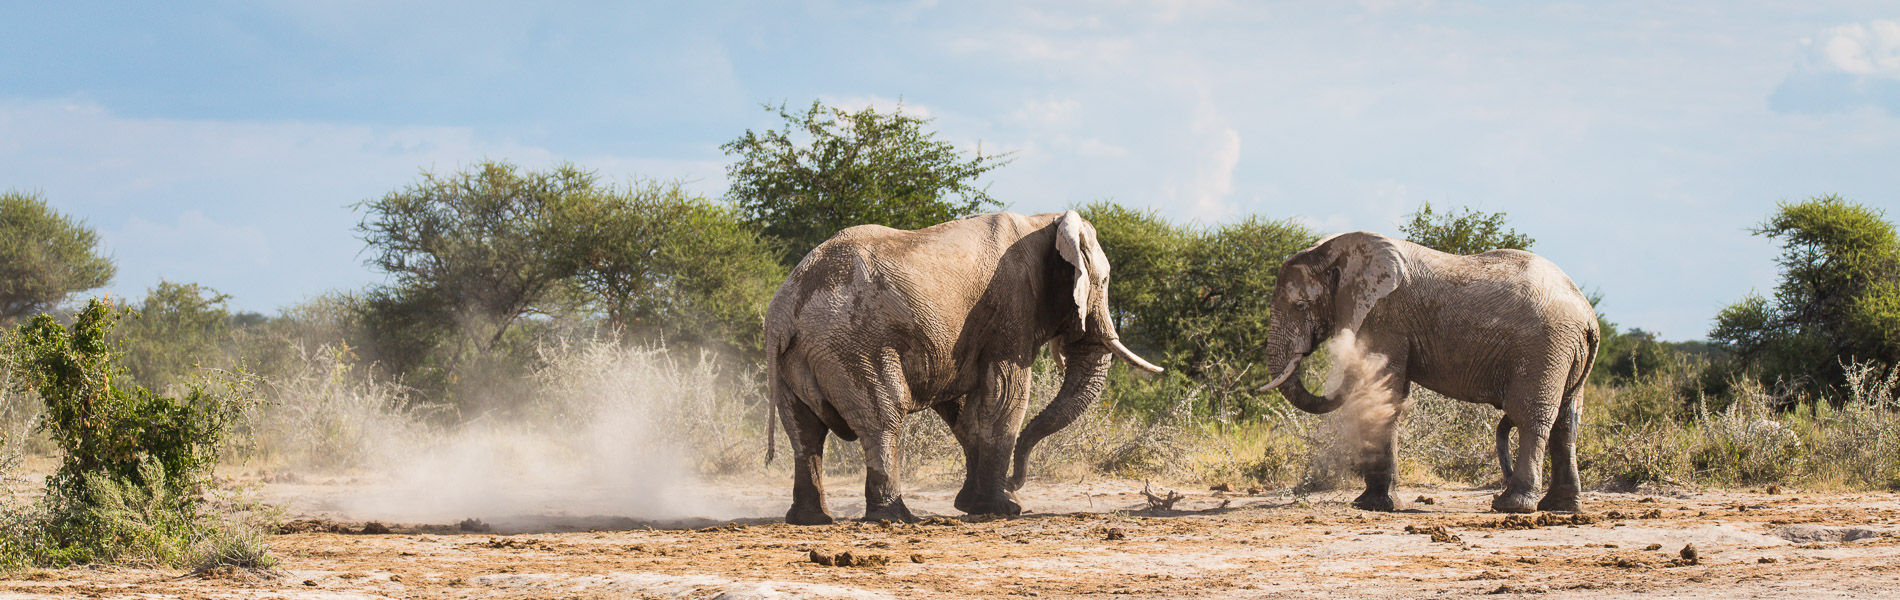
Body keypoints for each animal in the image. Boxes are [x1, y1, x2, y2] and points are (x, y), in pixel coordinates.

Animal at [765, 211, 1164, 525]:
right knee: (884, 419)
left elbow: (962, 408)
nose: (1016, 482)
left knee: (803, 431)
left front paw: (975, 504)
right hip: (854, 345)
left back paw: (811, 519)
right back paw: (896, 518)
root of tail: (782, 313)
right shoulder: (1013, 306)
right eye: (1105, 281)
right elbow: (1005, 394)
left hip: (794, 362)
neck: (1043, 222)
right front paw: (1002, 509)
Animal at [1254, 231, 1599, 513]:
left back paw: (1511, 506)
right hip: (1566, 352)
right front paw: (1373, 503)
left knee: (1531, 415)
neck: (1337, 251)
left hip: (1544, 347)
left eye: (1300, 305)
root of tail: (1588, 316)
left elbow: (1386, 393)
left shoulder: (1384, 318)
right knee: (1566, 422)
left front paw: (1373, 505)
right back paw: (1560, 507)